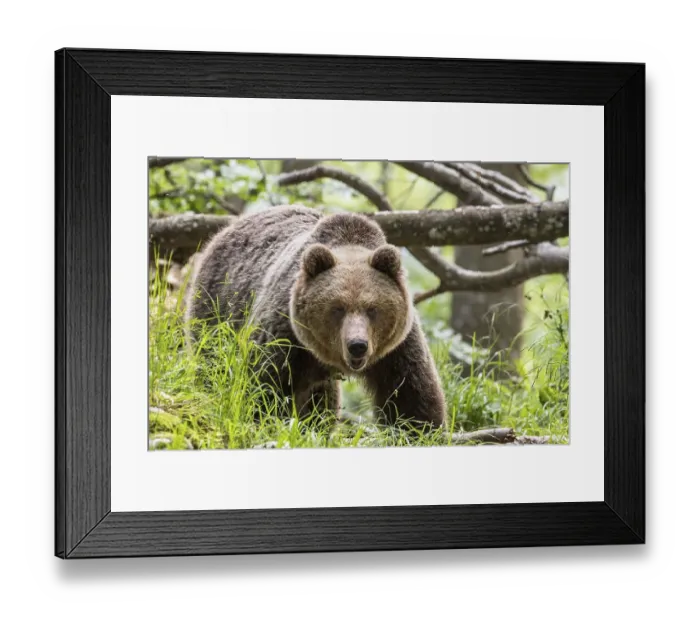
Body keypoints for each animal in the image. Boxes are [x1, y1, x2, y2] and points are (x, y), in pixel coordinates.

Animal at [184, 205, 446, 428]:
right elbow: (264, 385)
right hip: (217, 308)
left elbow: (411, 398)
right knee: (212, 363)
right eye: (337, 308)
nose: (357, 345)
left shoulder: (396, 348)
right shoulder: (286, 333)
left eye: (373, 308)